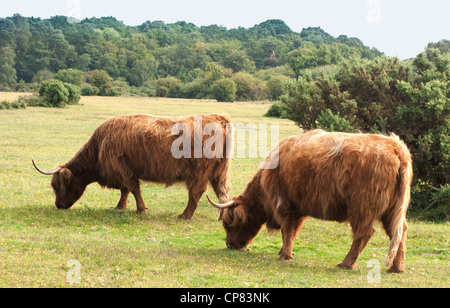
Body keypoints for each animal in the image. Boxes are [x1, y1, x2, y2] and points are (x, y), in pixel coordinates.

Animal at [32, 113, 232, 219]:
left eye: (58, 186)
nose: (58, 205)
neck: (99, 147)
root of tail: (217, 118)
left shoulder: (123, 169)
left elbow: (133, 188)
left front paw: (140, 209)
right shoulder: (123, 171)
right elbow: (126, 191)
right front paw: (120, 206)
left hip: (199, 173)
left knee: (195, 193)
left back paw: (185, 215)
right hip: (219, 174)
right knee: (223, 194)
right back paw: (222, 217)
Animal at [207, 129, 412, 272]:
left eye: (229, 224)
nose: (230, 245)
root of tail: (396, 148)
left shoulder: (284, 205)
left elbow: (287, 230)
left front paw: (285, 255)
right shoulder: (298, 208)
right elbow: (290, 232)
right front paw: (285, 252)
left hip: (362, 207)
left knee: (363, 234)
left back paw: (346, 263)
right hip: (393, 210)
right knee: (399, 232)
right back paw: (397, 268)